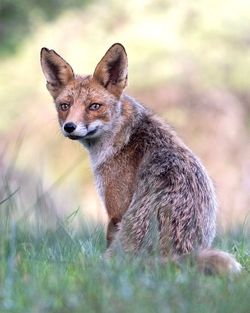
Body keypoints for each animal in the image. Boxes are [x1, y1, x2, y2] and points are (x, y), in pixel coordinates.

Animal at [41, 43, 242, 272]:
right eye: (64, 106)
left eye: (94, 106)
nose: (69, 127)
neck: (124, 136)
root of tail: (179, 254)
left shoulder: (116, 211)